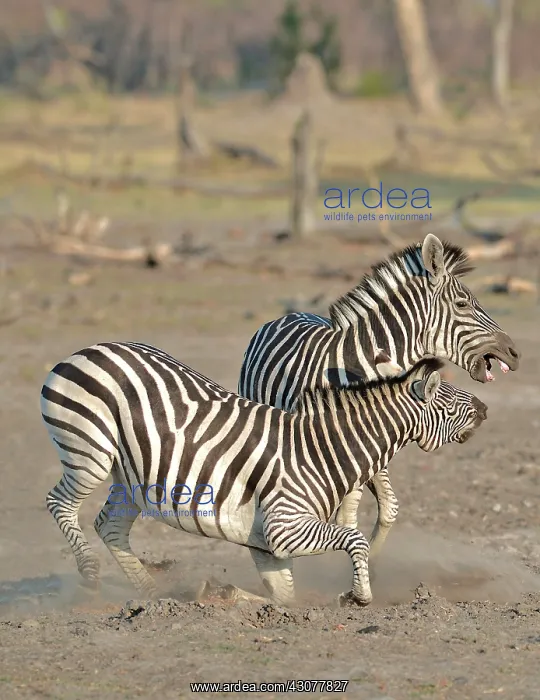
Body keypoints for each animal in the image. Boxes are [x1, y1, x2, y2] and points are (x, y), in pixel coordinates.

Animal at [41, 342, 487, 608]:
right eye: (447, 403)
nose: (484, 408)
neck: (321, 452)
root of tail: (85, 350)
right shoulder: (284, 525)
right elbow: (355, 539)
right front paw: (360, 595)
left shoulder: (265, 544)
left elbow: (284, 599)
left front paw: (222, 593)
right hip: (90, 452)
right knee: (58, 503)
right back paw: (90, 575)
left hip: (131, 477)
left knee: (110, 526)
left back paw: (153, 595)